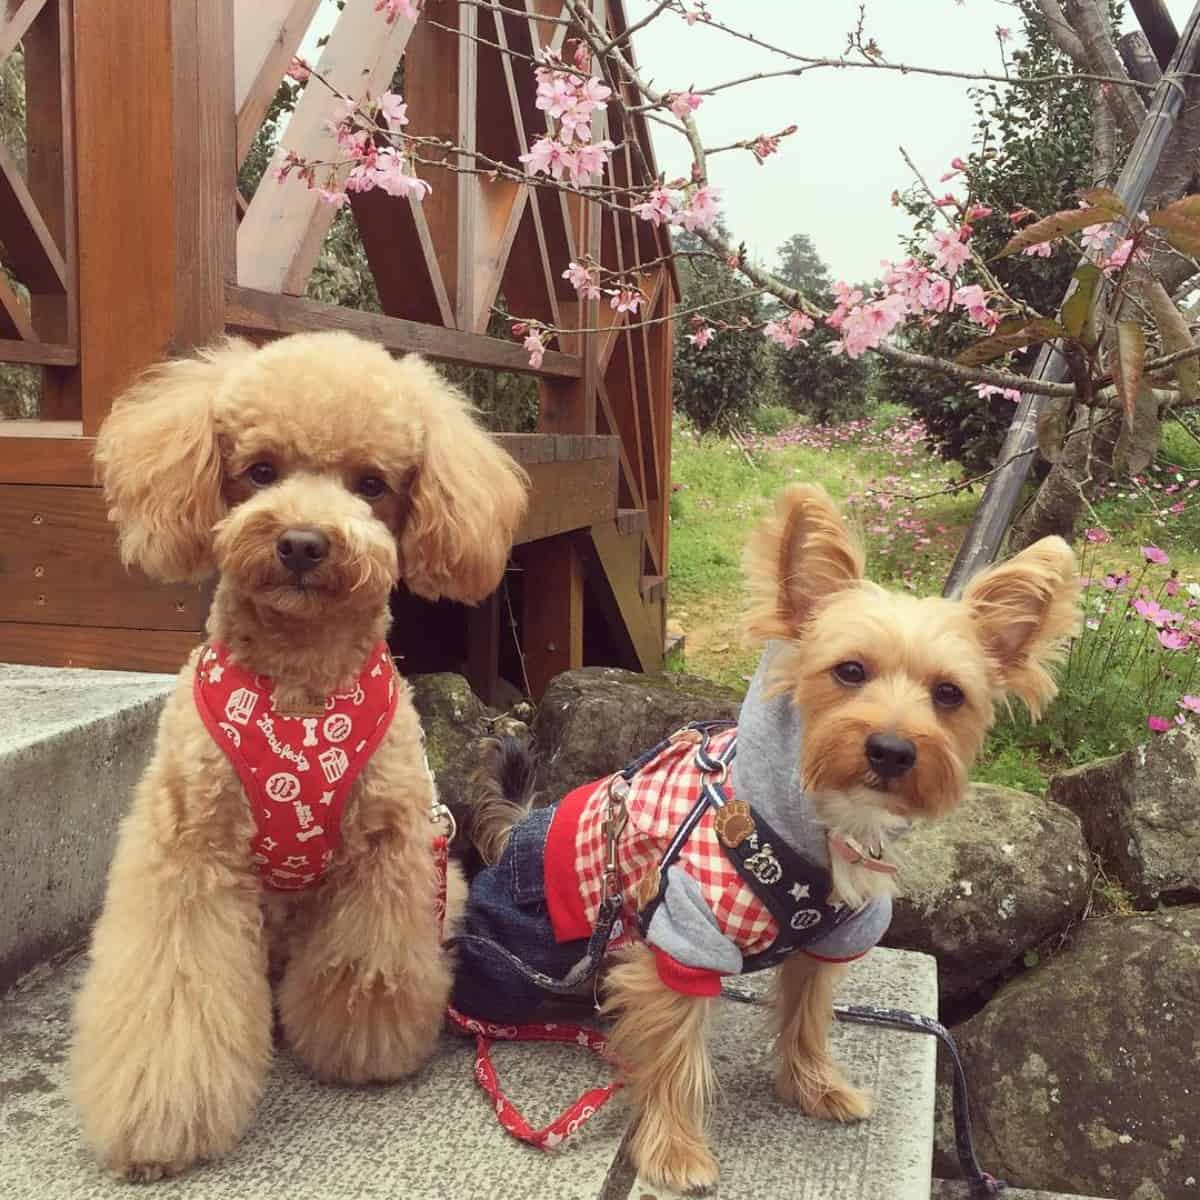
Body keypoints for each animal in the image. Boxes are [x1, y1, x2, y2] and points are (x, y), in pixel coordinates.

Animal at [456, 482, 1080, 1195]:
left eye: (949, 694)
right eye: (849, 671)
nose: (892, 749)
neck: (823, 825)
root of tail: (515, 835)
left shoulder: (828, 940)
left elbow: (807, 1014)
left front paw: (816, 1087)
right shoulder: (688, 937)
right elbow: (676, 1055)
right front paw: (676, 1152)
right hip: (513, 959)